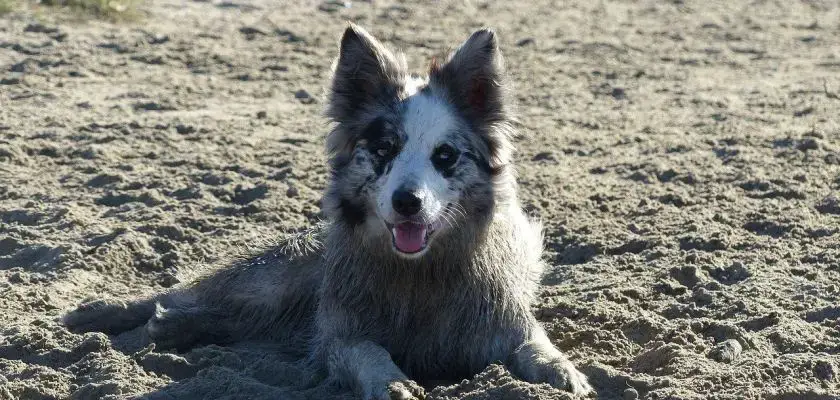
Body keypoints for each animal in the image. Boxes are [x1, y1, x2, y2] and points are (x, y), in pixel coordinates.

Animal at [62, 25, 592, 400]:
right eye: (383, 149)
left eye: (445, 155)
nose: (408, 202)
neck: (420, 275)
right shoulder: (343, 335)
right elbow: (367, 353)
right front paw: (391, 381)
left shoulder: (507, 322)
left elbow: (539, 346)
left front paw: (565, 373)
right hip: (275, 280)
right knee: (191, 292)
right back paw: (118, 314)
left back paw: (173, 327)